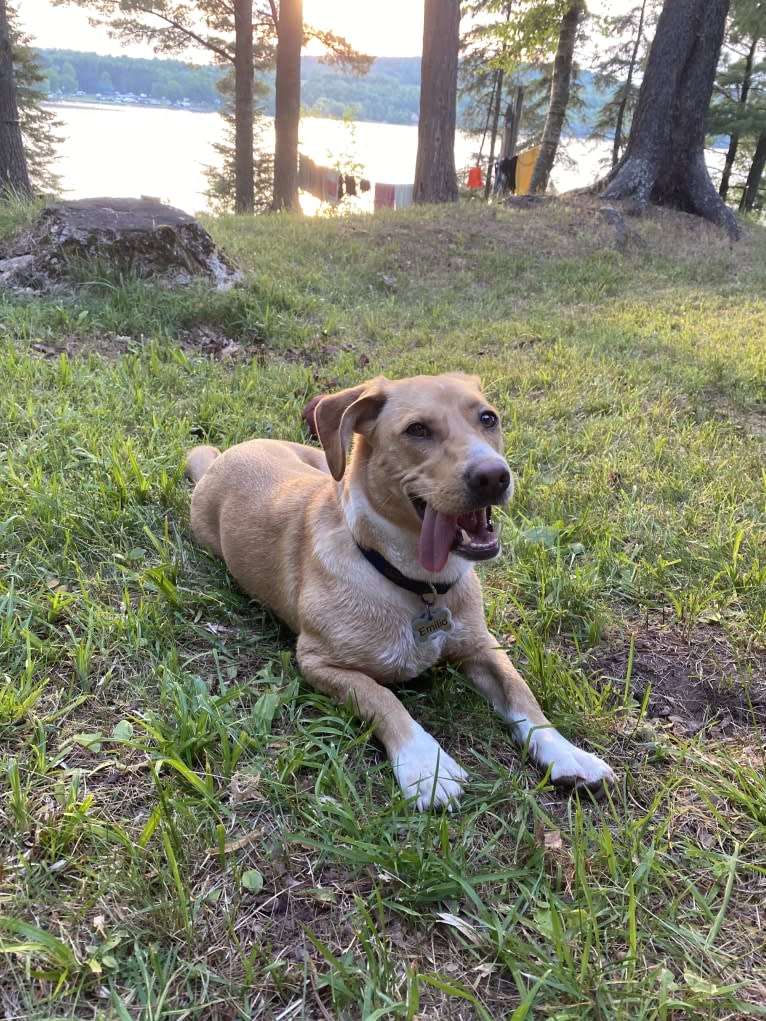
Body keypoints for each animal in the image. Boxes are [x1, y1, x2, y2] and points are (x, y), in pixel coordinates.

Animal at [187, 371, 616, 808]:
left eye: (488, 418)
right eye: (417, 430)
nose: (494, 475)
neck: (418, 583)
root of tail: (226, 455)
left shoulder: (482, 645)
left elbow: (521, 692)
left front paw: (565, 751)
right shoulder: (319, 662)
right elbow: (383, 699)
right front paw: (427, 765)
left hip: (325, 461)